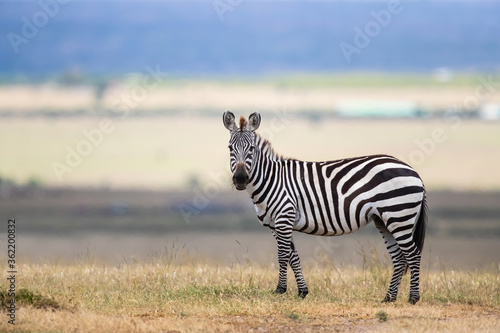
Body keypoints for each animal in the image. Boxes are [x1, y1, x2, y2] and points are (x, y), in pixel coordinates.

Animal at [223, 109, 426, 304]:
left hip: (399, 215)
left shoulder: (284, 218)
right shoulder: (275, 224)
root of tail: (413, 171)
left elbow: (283, 255)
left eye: (251, 148)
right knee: (399, 258)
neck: (272, 180)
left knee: (413, 254)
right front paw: (302, 291)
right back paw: (389, 298)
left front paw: (280, 290)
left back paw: (413, 298)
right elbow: (293, 256)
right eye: (230, 148)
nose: (240, 179)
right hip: (384, 220)